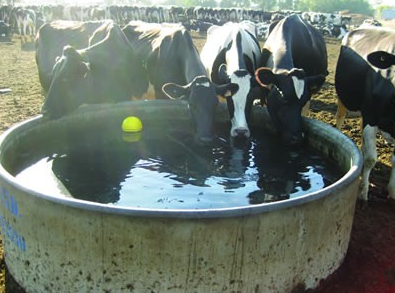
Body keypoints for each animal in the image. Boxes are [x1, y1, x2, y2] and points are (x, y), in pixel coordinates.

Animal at [336, 26, 395, 201]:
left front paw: (392, 190)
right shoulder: (370, 116)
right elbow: (370, 159)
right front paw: (363, 191)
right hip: (344, 98)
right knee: (339, 120)